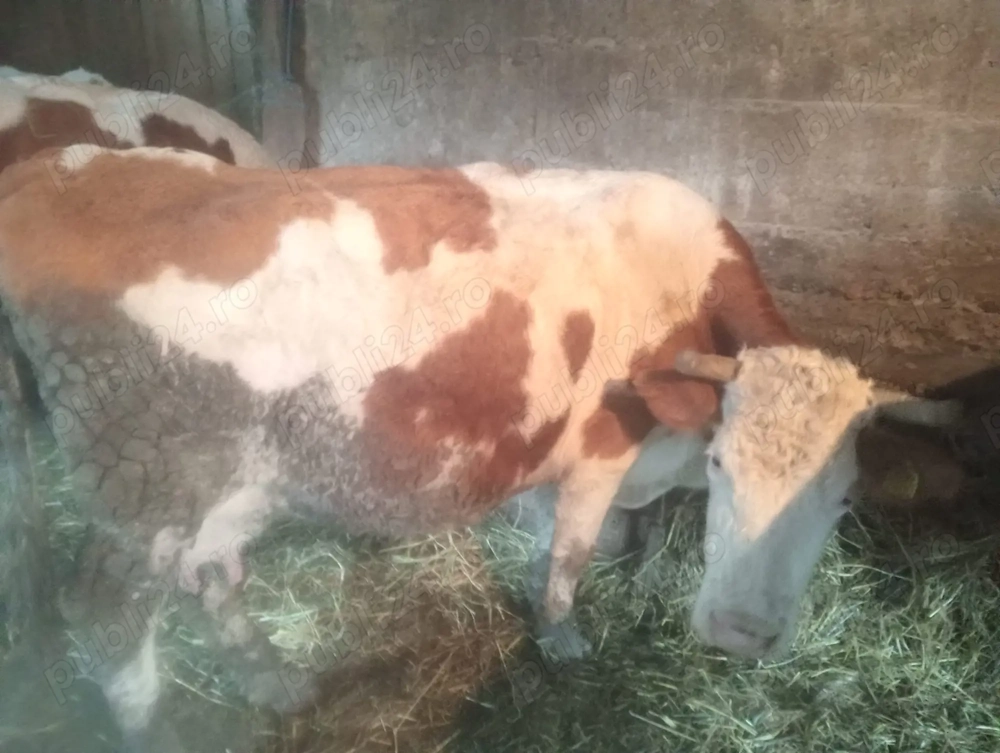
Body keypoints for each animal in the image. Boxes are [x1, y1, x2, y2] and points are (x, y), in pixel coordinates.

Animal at [0, 145, 959, 752]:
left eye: (841, 500)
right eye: (725, 465)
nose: (742, 633)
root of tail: (63, 171)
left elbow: (587, 539)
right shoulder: (602, 449)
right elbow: (571, 554)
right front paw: (563, 636)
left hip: (225, 478)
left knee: (214, 573)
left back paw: (273, 681)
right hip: (144, 479)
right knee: (110, 616)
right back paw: (156, 727)